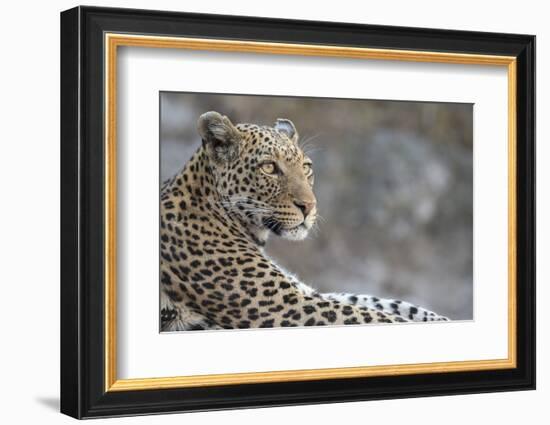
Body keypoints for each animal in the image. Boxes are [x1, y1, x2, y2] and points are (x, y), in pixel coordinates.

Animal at [158, 110, 448, 332]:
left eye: (306, 168)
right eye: (269, 168)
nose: (309, 206)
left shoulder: (303, 292)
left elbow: (383, 303)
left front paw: (440, 318)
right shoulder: (287, 306)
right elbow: (374, 315)